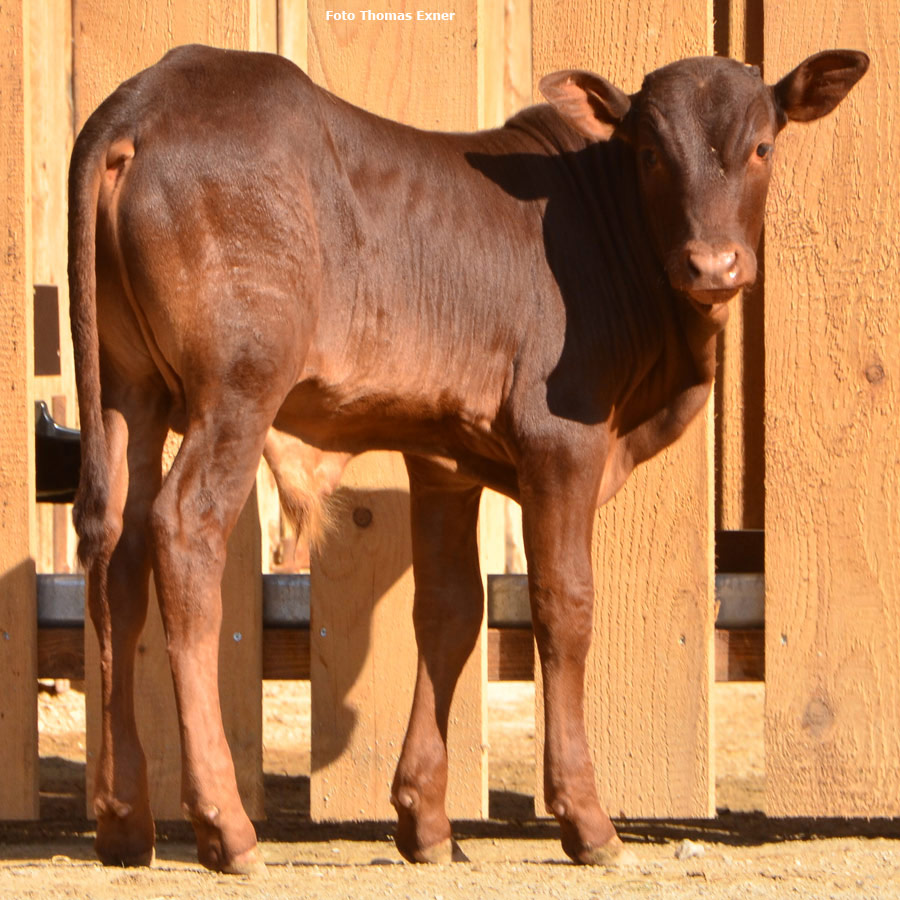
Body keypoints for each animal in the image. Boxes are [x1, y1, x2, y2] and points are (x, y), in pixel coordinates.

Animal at [72, 44, 872, 872]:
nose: (713, 266)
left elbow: (451, 610)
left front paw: (424, 818)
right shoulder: (562, 439)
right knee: (182, 529)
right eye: (652, 152)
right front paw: (585, 821)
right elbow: (563, 606)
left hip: (127, 386)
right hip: (238, 383)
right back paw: (224, 826)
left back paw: (124, 819)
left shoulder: (443, 458)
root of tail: (145, 102)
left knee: (115, 548)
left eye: (763, 146)